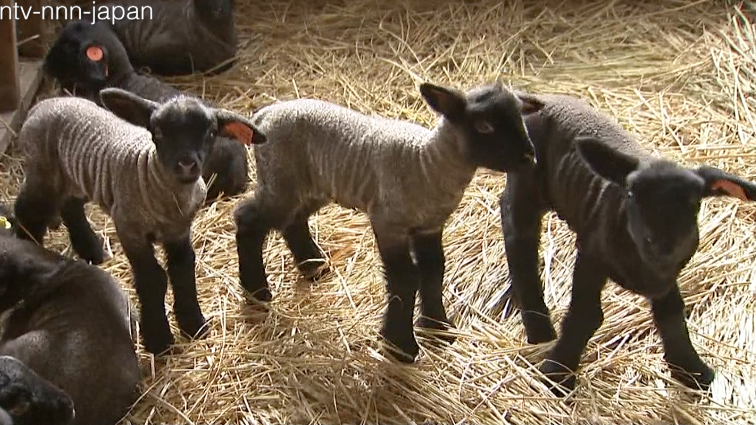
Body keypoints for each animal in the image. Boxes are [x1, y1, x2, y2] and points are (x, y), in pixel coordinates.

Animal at [12, 89, 267, 355]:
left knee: (70, 206)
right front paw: (158, 339)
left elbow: (183, 268)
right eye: (158, 131)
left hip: (74, 175)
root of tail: (42, 105)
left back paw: (92, 251)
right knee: (27, 212)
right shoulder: (129, 228)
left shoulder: (179, 230)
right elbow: (152, 277)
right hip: (42, 173)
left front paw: (193, 323)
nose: (186, 165)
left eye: (210, 132)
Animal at [234, 81, 544, 362]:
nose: (529, 157)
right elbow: (405, 278)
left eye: (520, 118)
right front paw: (401, 345)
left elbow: (434, 270)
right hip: (281, 179)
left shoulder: (429, 226)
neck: (428, 162)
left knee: (293, 220)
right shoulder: (388, 223)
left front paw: (437, 327)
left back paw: (313, 265)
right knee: (247, 219)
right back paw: (257, 290)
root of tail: (265, 114)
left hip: (311, 185)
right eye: (484, 126)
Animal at [497, 92, 756, 395]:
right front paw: (557, 374)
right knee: (518, 238)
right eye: (631, 194)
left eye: (694, 203)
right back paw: (538, 328)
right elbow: (586, 315)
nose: (660, 243)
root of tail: (540, 100)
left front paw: (691, 369)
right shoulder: (592, 254)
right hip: (525, 186)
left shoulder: (665, 275)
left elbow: (672, 315)